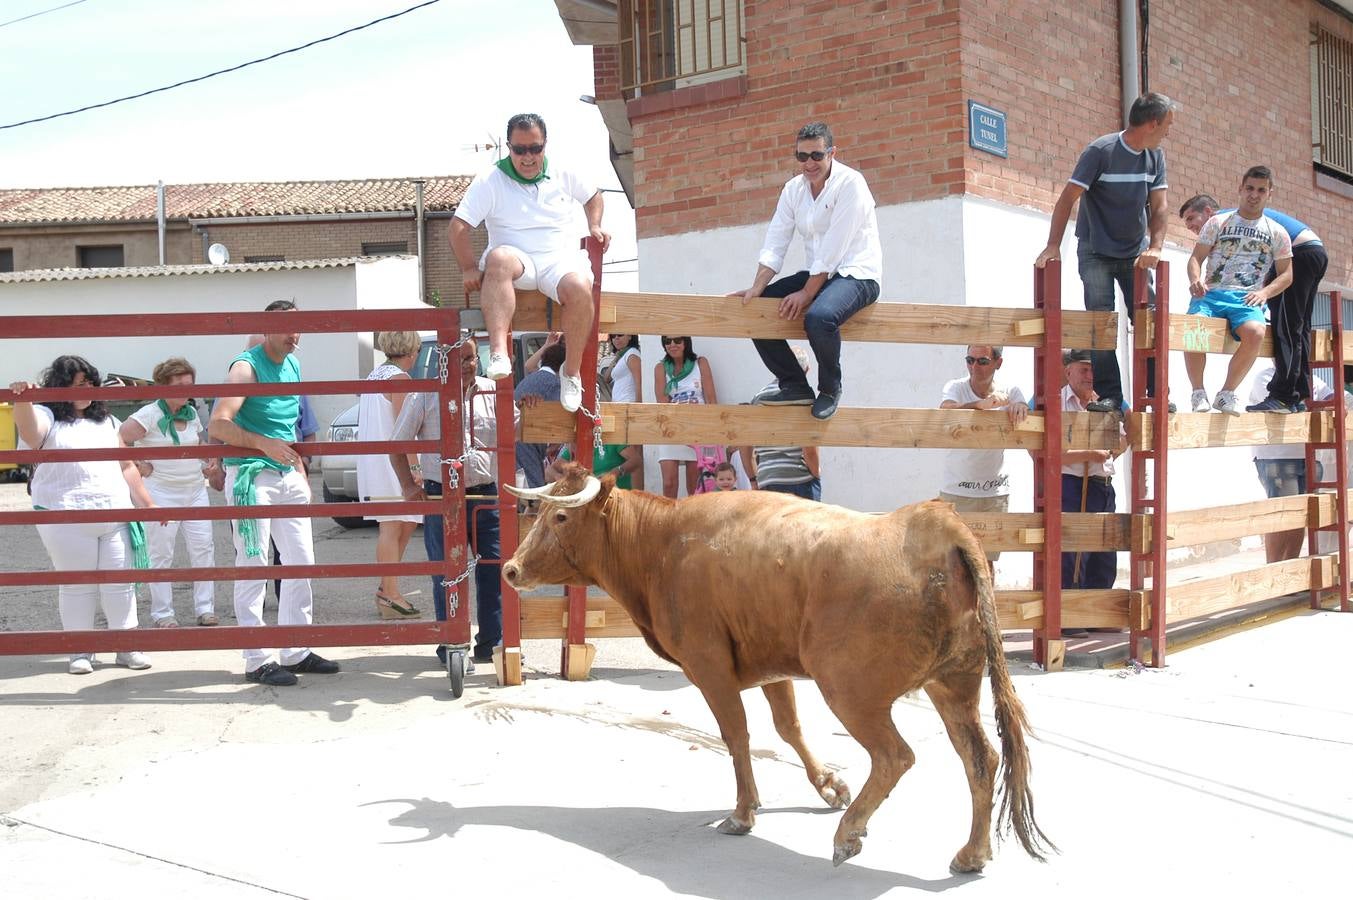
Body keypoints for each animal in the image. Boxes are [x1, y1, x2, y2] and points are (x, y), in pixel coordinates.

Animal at [503, 465, 1049, 866]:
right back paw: (971, 853)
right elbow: (788, 727)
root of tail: (942, 529)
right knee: (980, 759)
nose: (510, 569)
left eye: (561, 518)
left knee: (895, 756)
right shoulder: (773, 666)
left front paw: (744, 813)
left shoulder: (709, 667)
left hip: (850, 691)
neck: (661, 544)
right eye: (540, 510)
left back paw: (849, 832)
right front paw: (829, 785)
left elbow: (737, 735)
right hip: (952, 684)